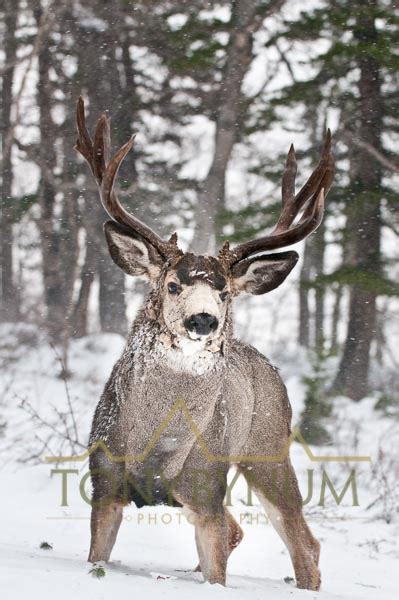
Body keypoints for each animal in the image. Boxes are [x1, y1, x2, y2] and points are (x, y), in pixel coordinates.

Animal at [74, 98, 334, 592]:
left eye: (226, 293)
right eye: (172, 285)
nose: (203, 320)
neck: (158, 447)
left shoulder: (207, 487)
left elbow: (219, 567)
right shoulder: (105, 483)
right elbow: (96, 556)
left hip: (268, 447)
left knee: (305, 543)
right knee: (244, 530)